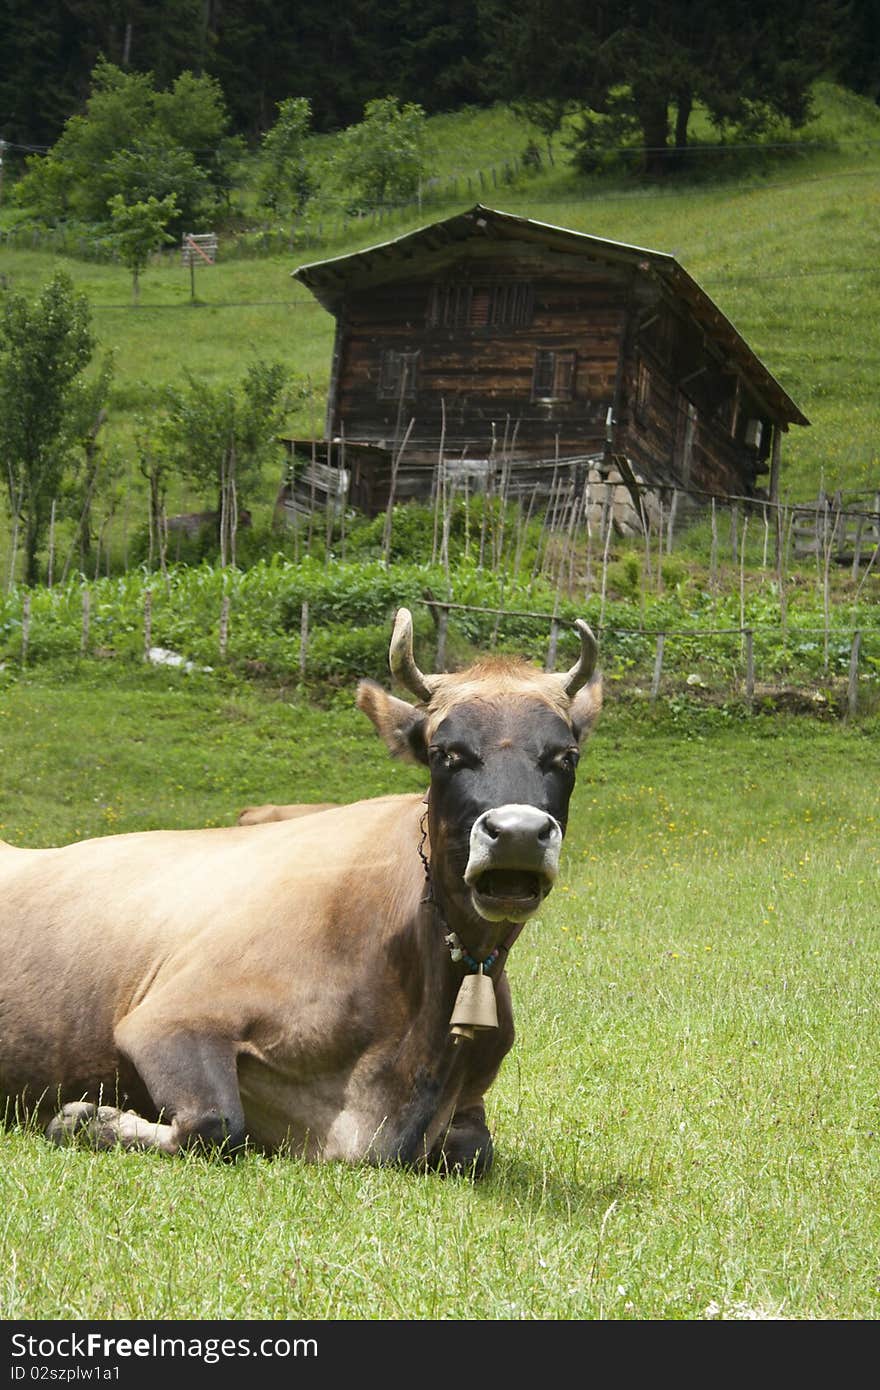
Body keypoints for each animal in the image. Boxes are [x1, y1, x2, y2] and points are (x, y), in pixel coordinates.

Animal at [0, 608, 597, 1173]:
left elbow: (475, 1150)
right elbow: (216, 1123)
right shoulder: (168, 1019)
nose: (517, 833)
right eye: (444, 752)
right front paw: (84, 1120)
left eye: (566, 756)